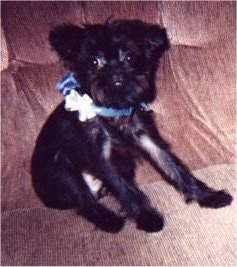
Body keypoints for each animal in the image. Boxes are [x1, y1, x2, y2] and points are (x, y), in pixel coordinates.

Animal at [30, 19, 232, 233]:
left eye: (129, 57)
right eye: (94, 62)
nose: (116, 72)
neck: (113, 113)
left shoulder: (149, 140)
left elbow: (176, 169)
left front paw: (208, 196)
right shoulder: (103, 160)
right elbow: (126, 190)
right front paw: (148, 218)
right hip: (60, 168)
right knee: (85, 201)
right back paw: (110, 222)